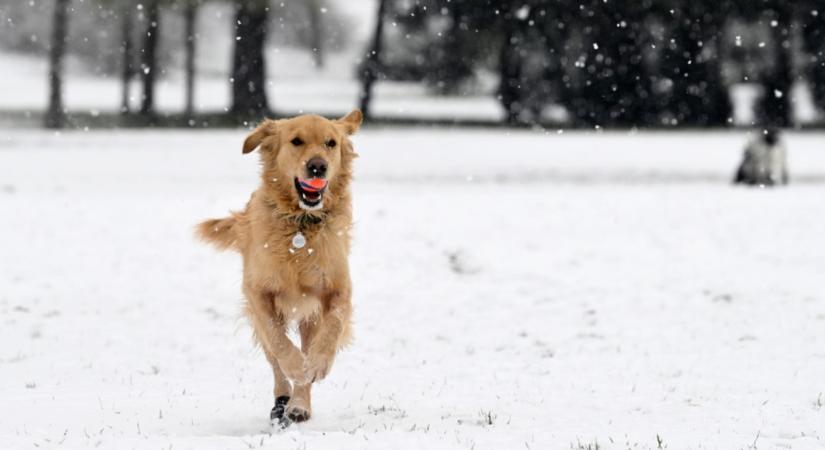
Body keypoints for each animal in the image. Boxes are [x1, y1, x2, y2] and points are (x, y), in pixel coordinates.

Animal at [196, 110, 360, 426]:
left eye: (331, 143)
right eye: (296, 141)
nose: (317, 167)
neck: (300, 225)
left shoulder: (338, 289)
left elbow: (333, 326)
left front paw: (318, 364)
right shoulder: (258, 293)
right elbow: (279, 342)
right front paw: (296, 367)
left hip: (310, 317)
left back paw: (299, 405)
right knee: (274, 358)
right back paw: (283, 400)